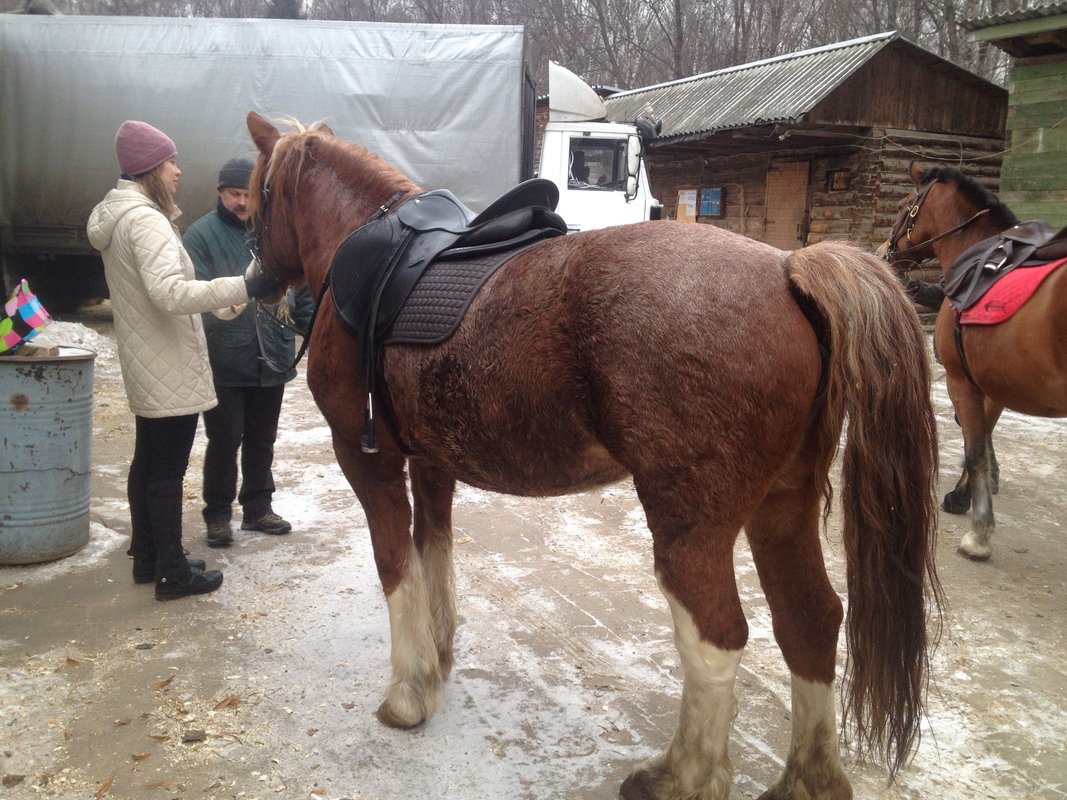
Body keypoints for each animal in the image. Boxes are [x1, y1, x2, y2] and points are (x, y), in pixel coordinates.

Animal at [245, 113, 938, 800]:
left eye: (262, 194)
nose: (255, 281)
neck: (374, 258)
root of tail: (790, 269)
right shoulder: (431, 463)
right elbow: (432, 553)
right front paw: (438, 658)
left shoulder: (368, 460)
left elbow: (395, 566)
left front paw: (409, 695)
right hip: (782, 507)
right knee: (811, 620)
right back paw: (808, 780)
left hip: (691, 526)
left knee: (717, 636)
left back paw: (681, 776)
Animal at [883, 161, 1067, 563]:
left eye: (904, 205)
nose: (884, 252)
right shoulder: (992, 383)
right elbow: (980, 438)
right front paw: (963, 497)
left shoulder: (960, 379)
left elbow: (974, 448)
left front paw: (979, 534)